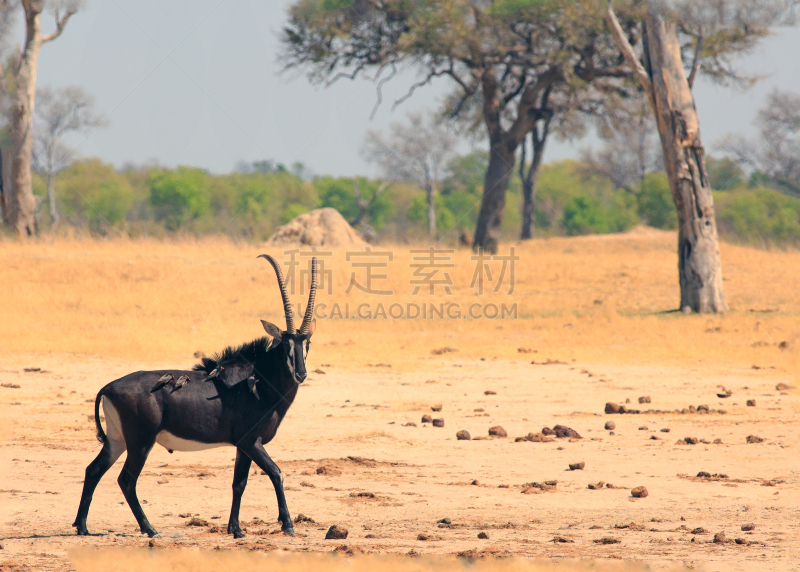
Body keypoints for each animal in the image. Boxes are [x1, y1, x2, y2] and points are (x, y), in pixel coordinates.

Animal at [72, 255, 316, 536]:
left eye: (307, 343)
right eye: (286, 344)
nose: (301, 373)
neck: (257, 379)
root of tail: (109, 387)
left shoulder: (243, 446)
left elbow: (239, 483)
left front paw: (235, 529)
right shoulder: (251, 441)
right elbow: (276, 472)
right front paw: (287, 525)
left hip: (117, 440)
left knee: (94, 470)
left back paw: (82, 526)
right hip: (141, 441)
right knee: (126, 479)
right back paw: (150, 529)